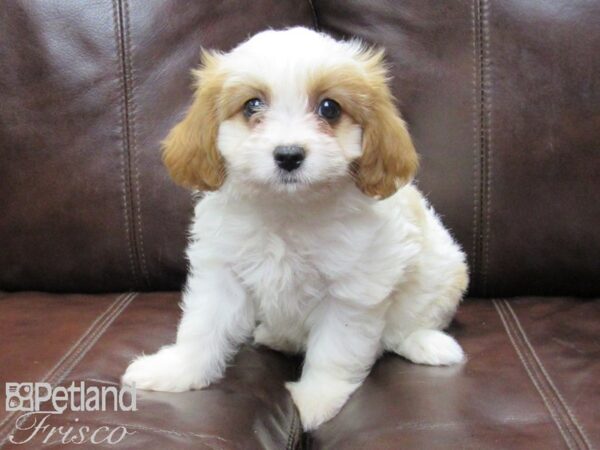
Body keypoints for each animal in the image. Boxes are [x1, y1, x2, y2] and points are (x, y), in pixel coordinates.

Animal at [123, 26, 468, 430]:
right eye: (253, 106)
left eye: (329, 108)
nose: (288, 155)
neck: (287, 210)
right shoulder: (222, 273)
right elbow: (202, 327)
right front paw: (176, 371)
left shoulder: (351, 292)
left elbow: (335, 349)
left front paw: (316, 400)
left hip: (445, 272)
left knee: (407, 328)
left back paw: (428, 344)